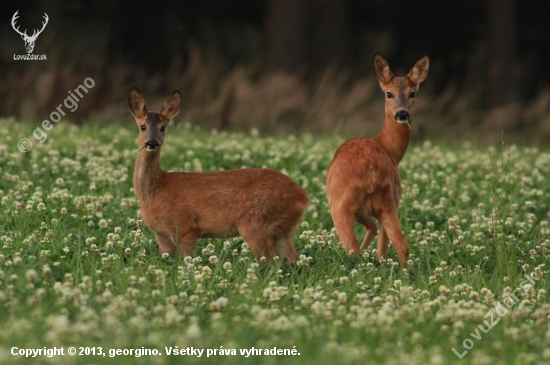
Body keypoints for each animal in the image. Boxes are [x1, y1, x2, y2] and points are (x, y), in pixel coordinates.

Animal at [130, 86, 310, 264]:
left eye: (163, 128)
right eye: (142, 126)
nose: (152, 143)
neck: (155, 192)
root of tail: (302, 196)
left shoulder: (186, 227)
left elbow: (187, 259)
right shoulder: (161, 235)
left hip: (256, 224)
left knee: (269, 263)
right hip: (282, 230)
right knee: (296, 261)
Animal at [328, 52, 432, 266]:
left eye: (412, 93)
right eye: (389, 93)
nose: (402, 113)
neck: (389, 151)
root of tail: (371, 172)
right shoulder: (387, 202)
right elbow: (377, 234)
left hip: (340, 204)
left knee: (353, 250)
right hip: (388, 202)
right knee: (402, 246)